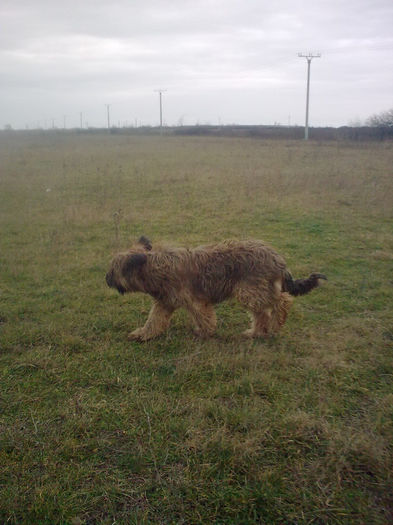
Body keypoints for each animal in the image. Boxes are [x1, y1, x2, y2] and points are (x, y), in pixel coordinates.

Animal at [105, 236, 326, 342]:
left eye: (113, 269)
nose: (106, 279)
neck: (155, 268)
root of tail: (277, 257)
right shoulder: (164, 303)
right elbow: (154, 322)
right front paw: (142, 334)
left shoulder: (195, 301)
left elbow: (204, 318)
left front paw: (204, 332)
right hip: (253, 291)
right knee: (262, 313)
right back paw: (256, 333)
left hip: (250, 291)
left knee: (283, 301)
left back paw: (275, 323)